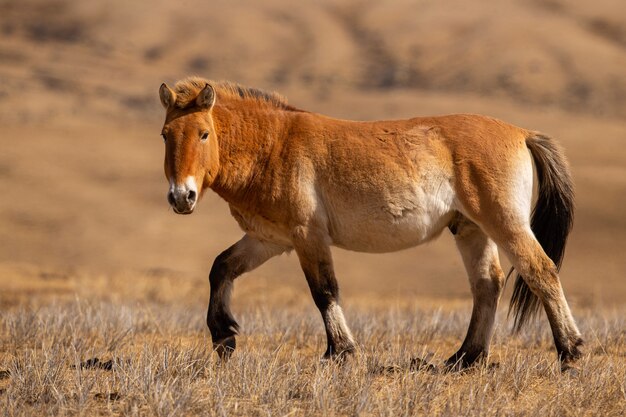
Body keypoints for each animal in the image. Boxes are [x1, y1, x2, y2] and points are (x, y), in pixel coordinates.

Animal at [156, 75, 580, 368]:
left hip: (505, 224)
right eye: (164, 135)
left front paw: (340, 352)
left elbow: (324, 291)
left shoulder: (307, 237)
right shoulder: (269, 240)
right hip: (471, 229)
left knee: (540, 271)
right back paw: (464, 358)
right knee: (487, 284)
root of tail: (522, 133)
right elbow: (220, 268)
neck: (273, 145)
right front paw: (223, 337)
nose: (181, 197)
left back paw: (570, 352)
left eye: (204, 133)